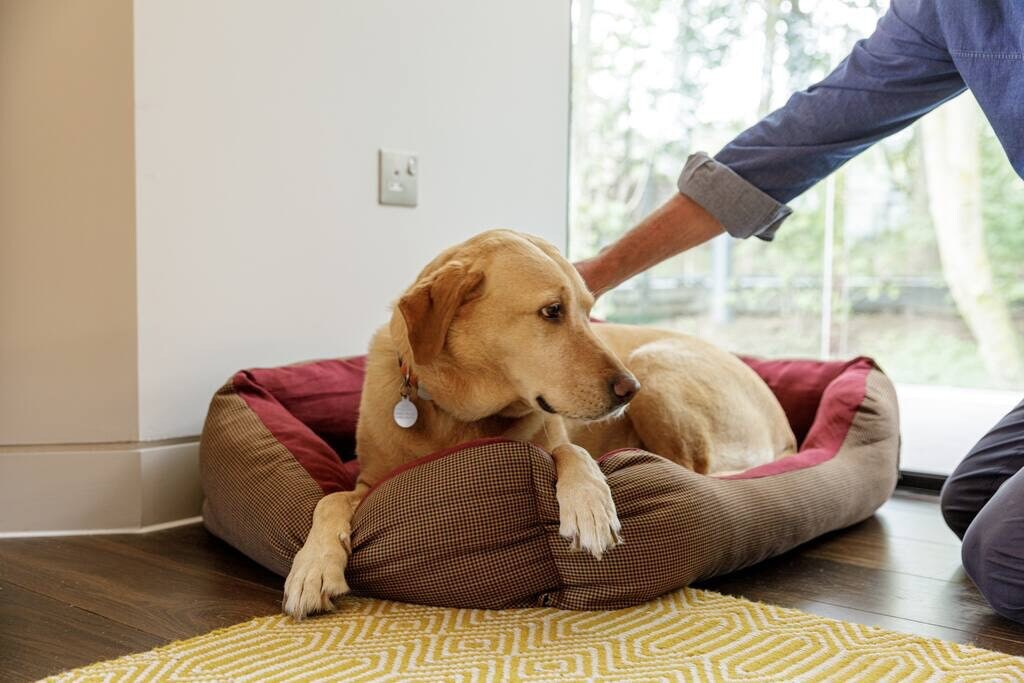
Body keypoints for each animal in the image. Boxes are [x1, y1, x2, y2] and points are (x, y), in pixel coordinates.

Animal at [284, 229, 794, 618]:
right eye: (552, 311)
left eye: (588, 310)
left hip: (655, 365)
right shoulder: (369, 481)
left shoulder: (558, 430)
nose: (627, 390)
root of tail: (785, 429)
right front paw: (312, 567)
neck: (460, 414)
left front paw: (590, 505)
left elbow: (571, 450)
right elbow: (329, 500)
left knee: (688, 470)